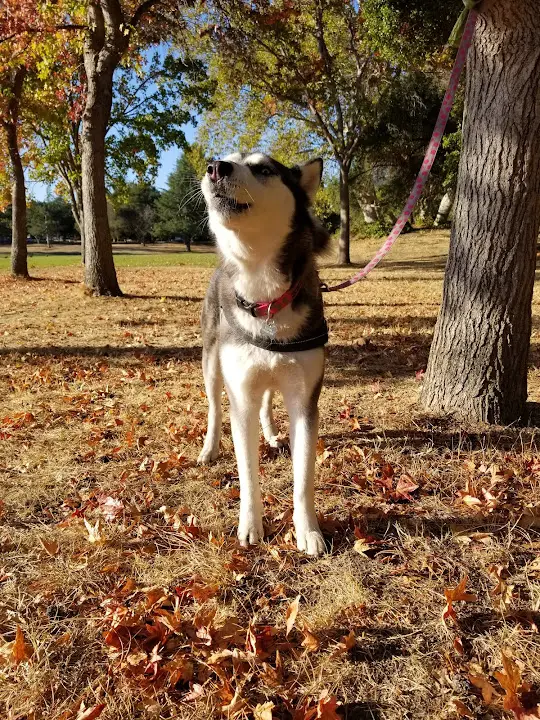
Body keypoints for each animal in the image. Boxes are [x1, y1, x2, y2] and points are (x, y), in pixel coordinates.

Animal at [198, 153, 330, 556]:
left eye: (264, 169)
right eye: (225, 159)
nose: (215, 167)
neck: (265, 296)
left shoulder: (305, 399)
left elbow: (304, 477)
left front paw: (308, 531)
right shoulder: (241, 395)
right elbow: (247, 473)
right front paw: (250, 526)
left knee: (269, 398)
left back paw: (271, 433)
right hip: (212, 363)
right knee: (214, 406)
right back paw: (210, 448)